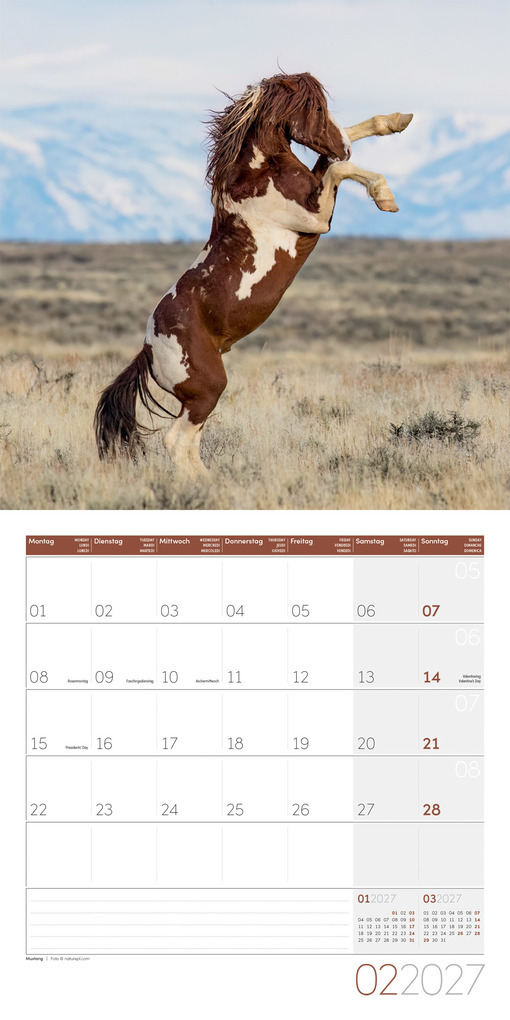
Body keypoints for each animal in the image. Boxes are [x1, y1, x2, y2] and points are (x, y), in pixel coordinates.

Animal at [94, 71, 412, 474]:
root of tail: (148, 350)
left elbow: (336, 157)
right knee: (175, 442)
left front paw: (397, 121)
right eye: (316, 108)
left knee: (189, 444)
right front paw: (385, 197)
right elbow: (338, 169)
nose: (342, 147)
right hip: (207, 390)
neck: (258, 175)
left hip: (197, 400)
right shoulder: (317, 218)